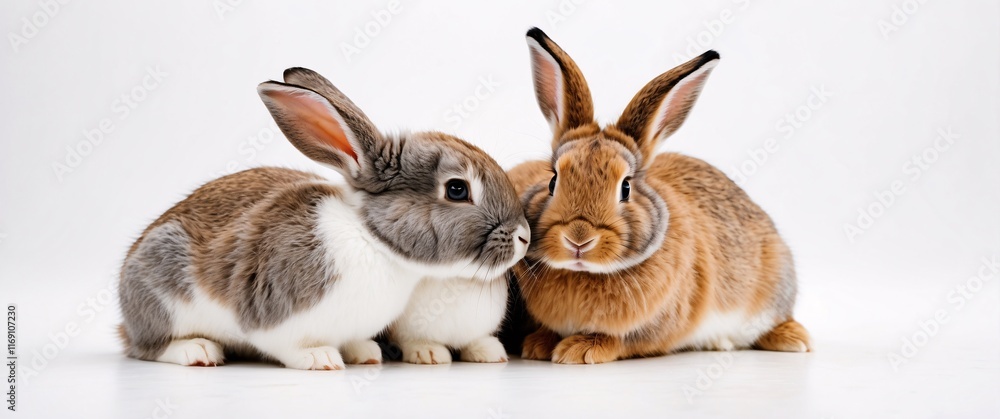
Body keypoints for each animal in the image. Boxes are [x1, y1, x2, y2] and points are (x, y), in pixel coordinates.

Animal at [117, 67, 530, 370]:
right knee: (147, 347)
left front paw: (365, 354)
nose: (524, 236)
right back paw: (196, 351)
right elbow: (287, 346)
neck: (373, 241)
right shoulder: (274, 318)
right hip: (161, 302)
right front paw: (320, 358)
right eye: (457, 190)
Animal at [507, 28, 811, 364]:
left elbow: (623, 339)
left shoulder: (658, 324)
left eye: (626, 187)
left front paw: (579, 350)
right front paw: (538, 345)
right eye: (552, 181)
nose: (578, 239)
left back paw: (794, 339)